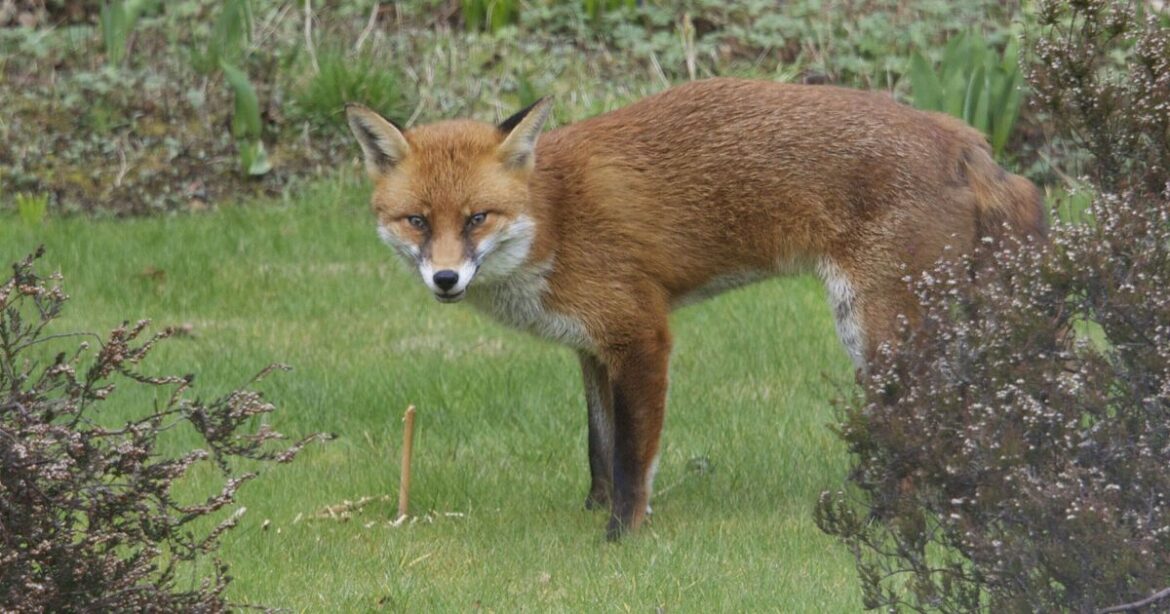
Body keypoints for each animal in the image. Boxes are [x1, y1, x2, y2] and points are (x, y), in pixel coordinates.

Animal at [345, 77, 1046, 540]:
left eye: (477, 218)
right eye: (416, 221)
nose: (445, 278)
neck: (554, 220)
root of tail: (965, 137)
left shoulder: (641, 335)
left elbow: (633, 456)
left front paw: (621, 538)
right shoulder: (592, 347)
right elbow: (598, 448)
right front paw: (591, 514)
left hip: (879, 334)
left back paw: (888, 520)